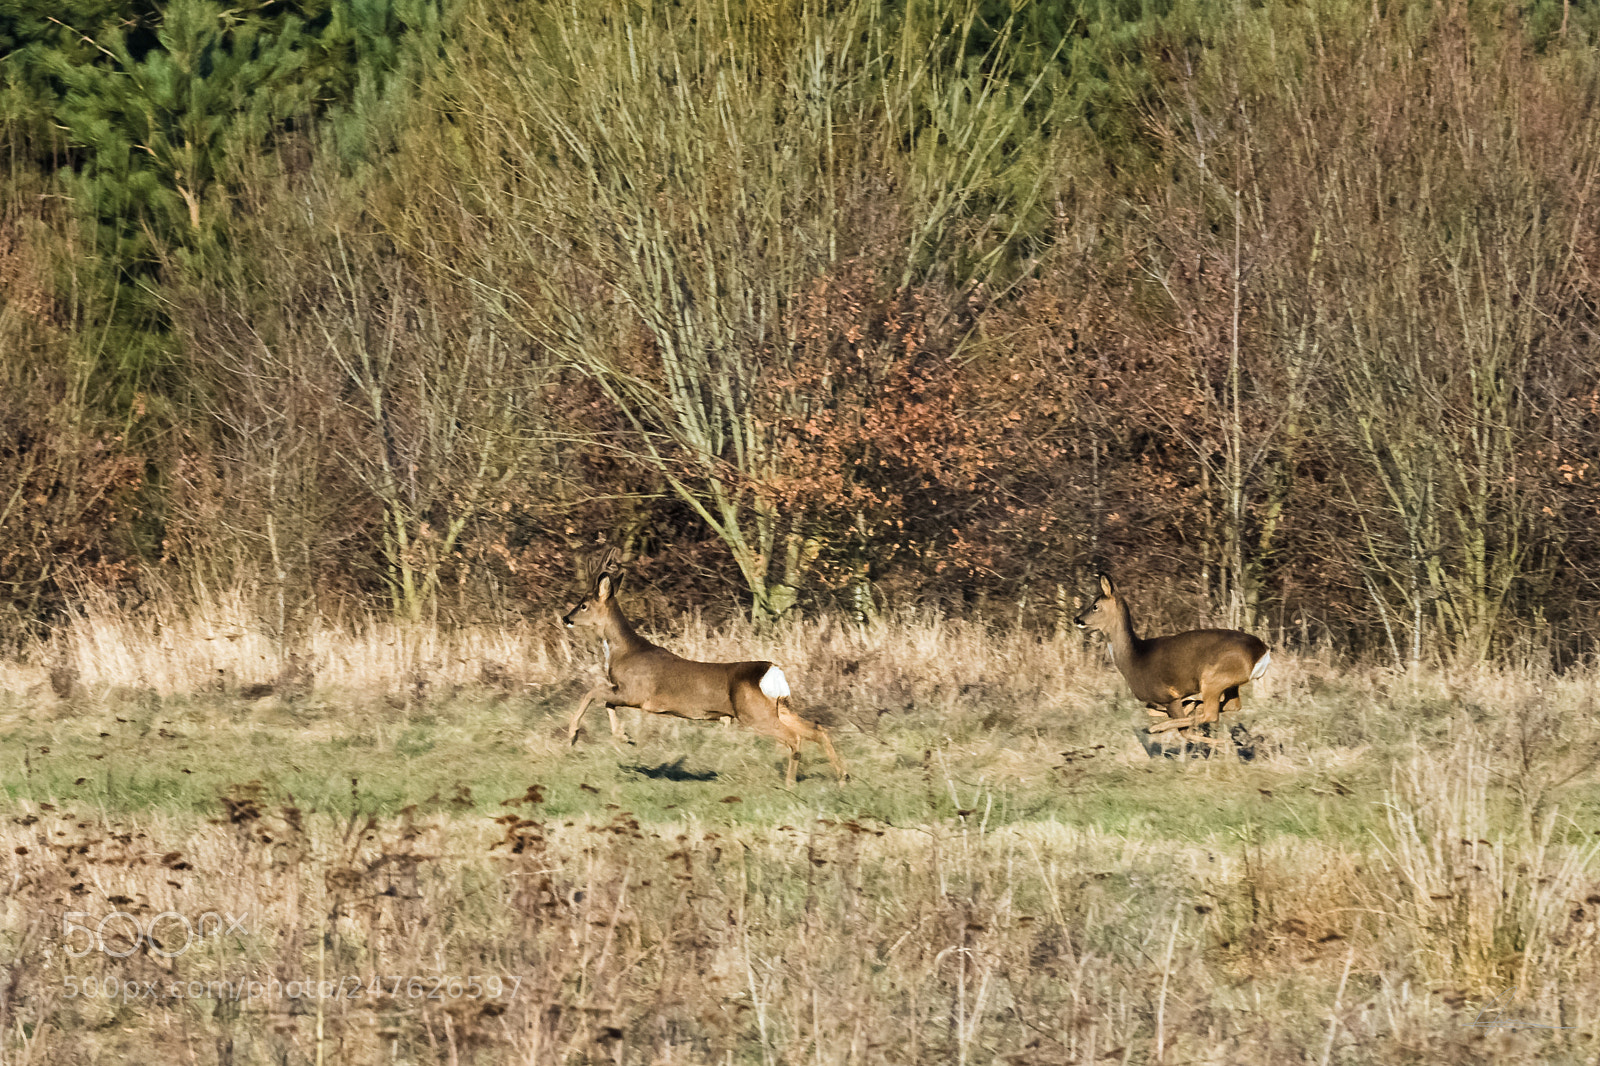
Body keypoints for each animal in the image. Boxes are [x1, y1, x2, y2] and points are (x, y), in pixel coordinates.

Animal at [560, 552, 848, 786]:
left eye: (583, 604)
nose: (566, 618)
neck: (624, 652)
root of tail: (772, 671)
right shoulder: (625, 692)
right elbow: (605, 701)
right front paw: (623, 736)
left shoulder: (636, 692)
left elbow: (593, 692)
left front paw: (573, 735)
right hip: (779, 706)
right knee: (818, 730)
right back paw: (842, 777)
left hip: (753, 713)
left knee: (794, 738)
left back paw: (790, 783)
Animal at [1073, 574, 1271, 746]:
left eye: (1095, 606)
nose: (1077, 619)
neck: (1134, 657)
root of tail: (1262, 652)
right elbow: (1153, 710)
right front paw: (1190, 706)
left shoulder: (1168, 696)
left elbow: (1183, 730)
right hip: (1229, 683)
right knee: (1232, 705)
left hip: (1213, 677)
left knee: (1211, 714)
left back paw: (1158, 728)